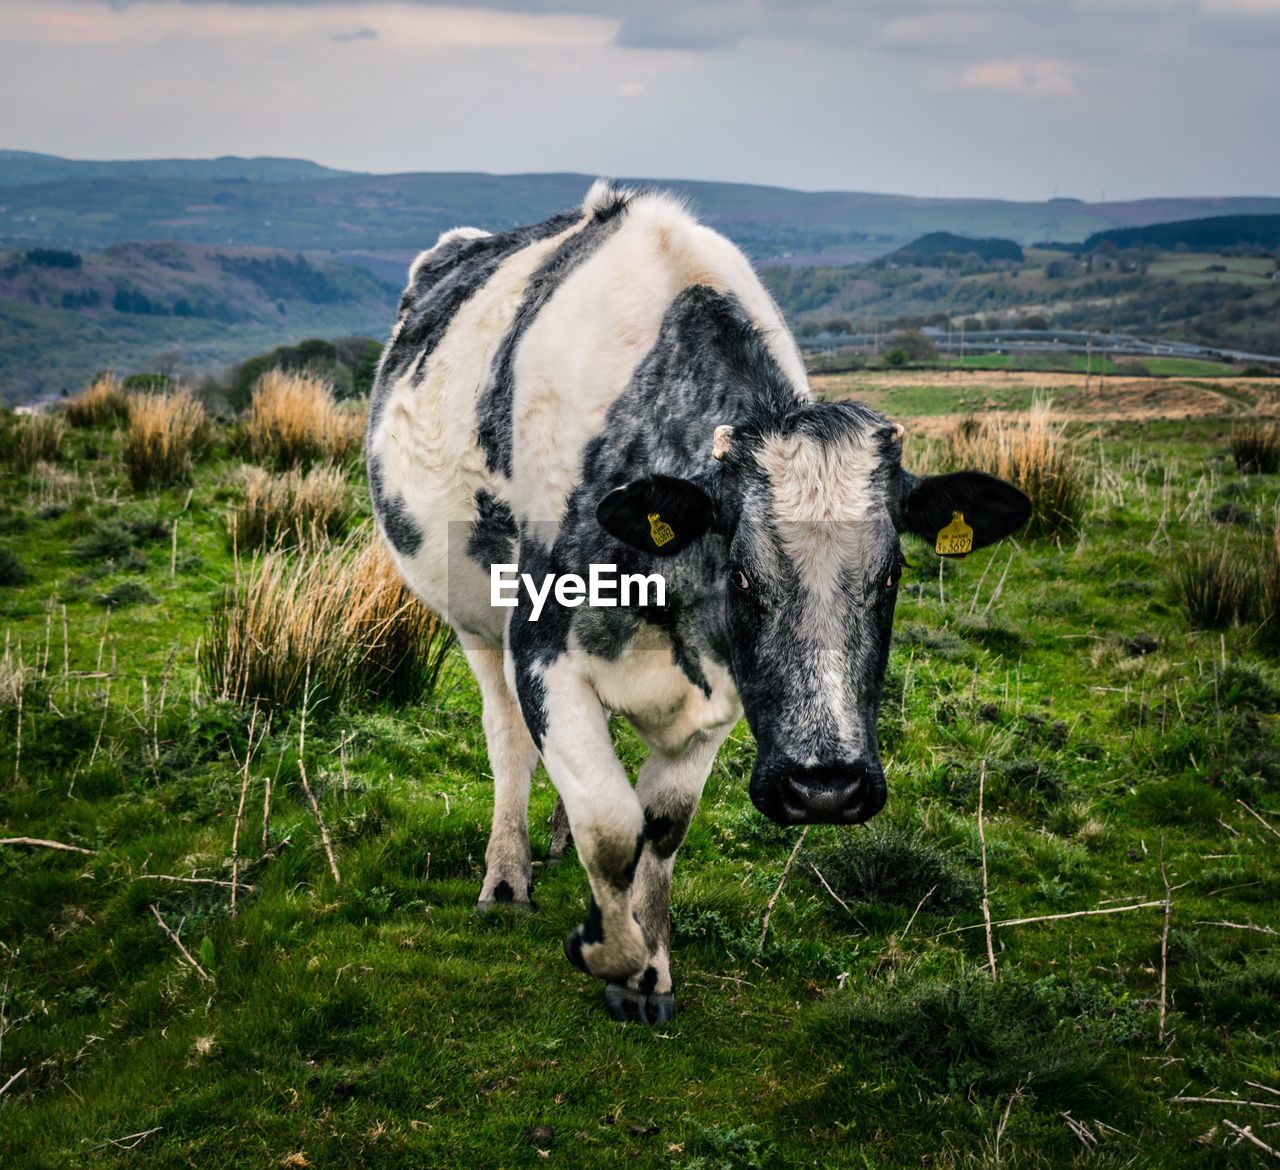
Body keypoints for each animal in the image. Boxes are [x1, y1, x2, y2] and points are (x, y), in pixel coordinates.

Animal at [368, 181, 1029, 1024]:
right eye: (742, 576)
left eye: (891, 578)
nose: (826, 786)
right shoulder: (542, 651)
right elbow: (612, 824)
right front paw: (603, 947)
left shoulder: (719, 688)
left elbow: (658, 827)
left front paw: (646, 972)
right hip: (476, 622)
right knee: (508, 740)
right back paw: (508, 876)